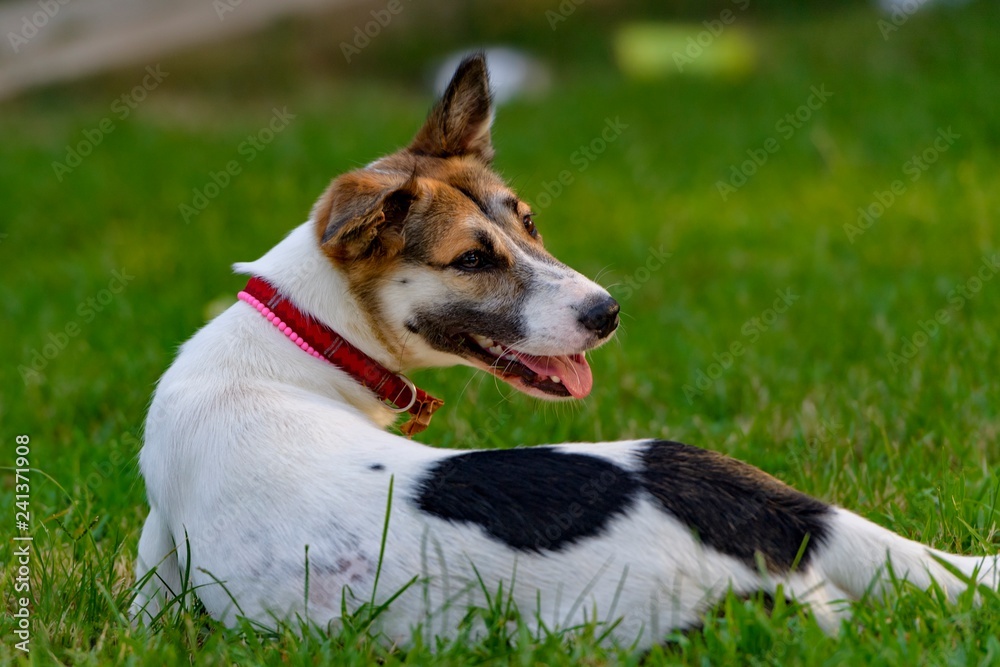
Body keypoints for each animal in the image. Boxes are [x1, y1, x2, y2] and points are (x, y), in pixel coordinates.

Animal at [135, 53, 1000, 648]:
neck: (291, 339)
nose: (608, 312)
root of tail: (777, 521)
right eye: (472, 259)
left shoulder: (156, 562)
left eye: (529, 222)